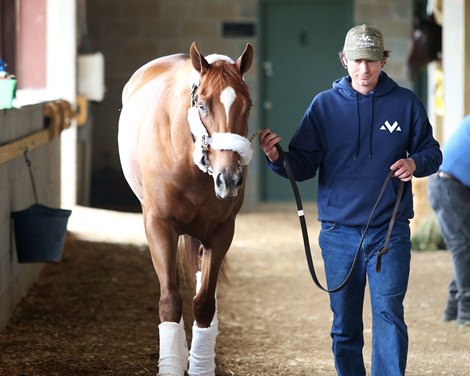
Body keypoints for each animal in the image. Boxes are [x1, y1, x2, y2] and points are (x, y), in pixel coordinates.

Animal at [119, 42, 255, 374]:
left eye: (248, 106)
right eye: (203, 105)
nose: (229, 179)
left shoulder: (221, 232)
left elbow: (204, 302)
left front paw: (200, 366)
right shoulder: (159, 227)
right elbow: (170, 301)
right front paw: (172, 364)